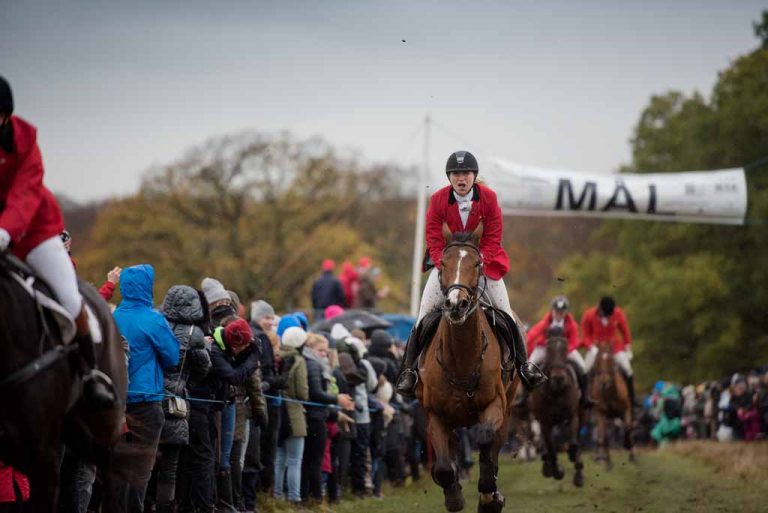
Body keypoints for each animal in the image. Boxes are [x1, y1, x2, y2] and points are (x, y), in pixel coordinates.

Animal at [416, 224, 520, 512]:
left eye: (477, 263)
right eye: (442, 263)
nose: (456, 304)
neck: (461, 359)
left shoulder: (495, 404)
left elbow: (485, 440)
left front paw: (489, 494)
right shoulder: (435, 414)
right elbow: (443, 467)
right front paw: (454, 495)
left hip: (508, 406)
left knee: (494, 442)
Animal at [532, 330, 584, 486]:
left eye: (565, 349)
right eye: (549, 349)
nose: (559, 378)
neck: (556, 392)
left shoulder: (572, 416)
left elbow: (573, 443)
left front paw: (574, 458)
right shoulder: (545, 421)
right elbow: (550, 448)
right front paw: (556, 470)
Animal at [588, 340, 636, 468]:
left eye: (611, 360)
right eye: (597, 359)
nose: (604, 382)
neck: (610, 393)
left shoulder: (626, 409)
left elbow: (627, 428)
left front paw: (630, 452)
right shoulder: (601, 413)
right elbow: (604, 437)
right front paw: (608, 463)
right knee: (599, 436)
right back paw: (600, 457)